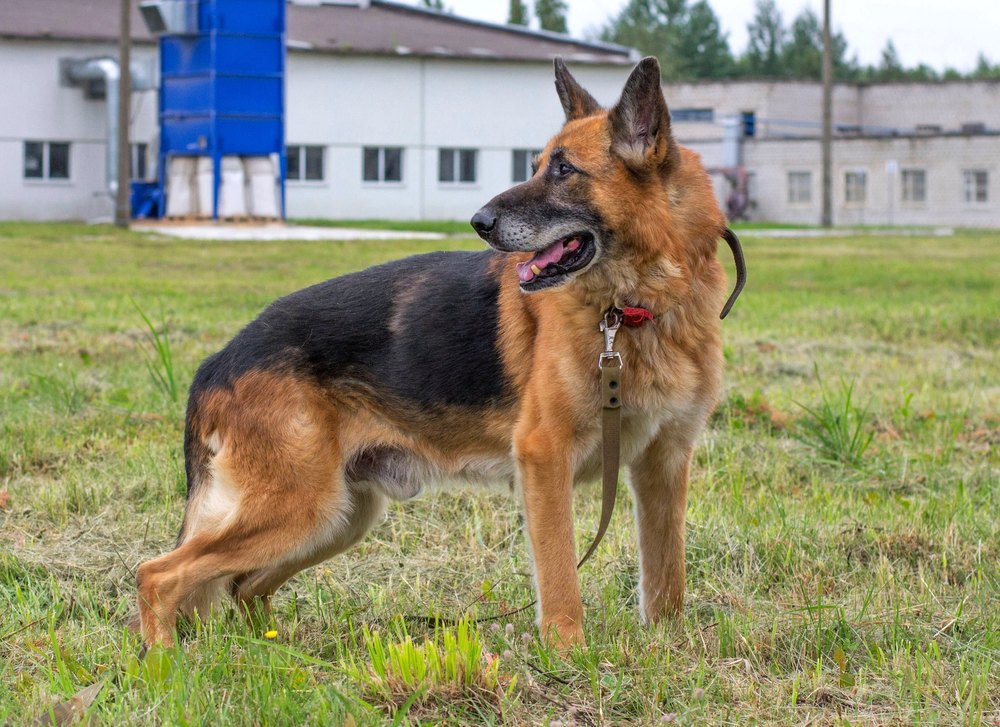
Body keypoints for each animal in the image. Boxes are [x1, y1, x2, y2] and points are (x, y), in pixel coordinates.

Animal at [137, 58, 740, 648]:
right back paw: (164, 664)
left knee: (242, 584)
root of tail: (216, 363)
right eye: (538, 165)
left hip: (339, 516)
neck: (635, 310)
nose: (479, 222)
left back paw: (274, 649)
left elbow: (666, 573)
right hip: (302, 507)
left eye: (565, 170)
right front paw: (569, 655)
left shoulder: (665, 463)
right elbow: (561, 577)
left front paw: (671, 648)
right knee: (159, 574)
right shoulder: (545, 459)